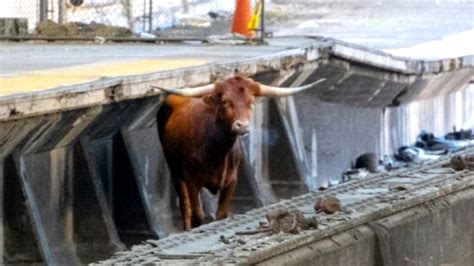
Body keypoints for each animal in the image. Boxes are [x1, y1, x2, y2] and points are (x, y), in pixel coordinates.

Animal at [154, 75, 324, 231]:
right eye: (225, 101)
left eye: (251, 102)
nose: (242, 126)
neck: (215, 152)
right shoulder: (192, 181)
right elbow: (197, 216)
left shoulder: (231, 181)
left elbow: (221, 214)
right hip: (175, 172)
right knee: (185, 207)